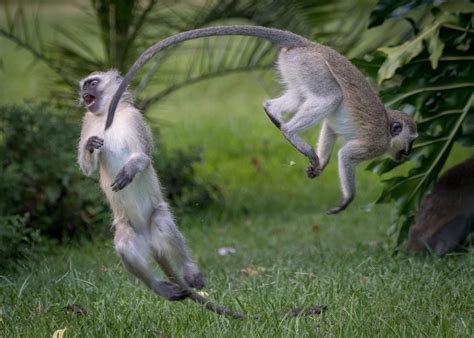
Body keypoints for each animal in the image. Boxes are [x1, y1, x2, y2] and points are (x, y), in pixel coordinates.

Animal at [105, 25, 416, 214]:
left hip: (296, 67)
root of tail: (309, 45)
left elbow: (330, 126)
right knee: (331, 97)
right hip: (313, 67)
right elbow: (347, 154)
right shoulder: (374, 144)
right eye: (411, 141)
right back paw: (290, 131)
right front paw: (347, 198)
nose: (409, 153)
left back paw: (273, 113)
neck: (387, 130)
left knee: (304, 97)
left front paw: (321, 165)